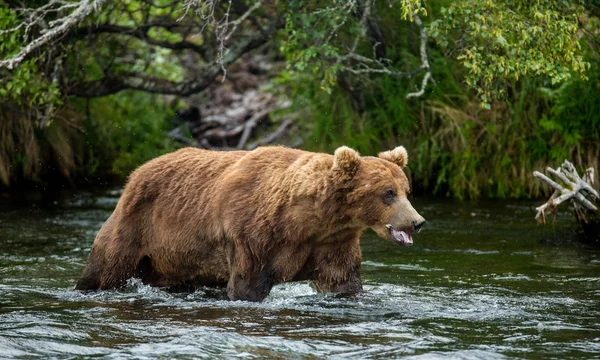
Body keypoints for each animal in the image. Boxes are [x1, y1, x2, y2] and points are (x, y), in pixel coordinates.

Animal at [75, 146, 424, 300]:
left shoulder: (333, 242)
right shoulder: (254, 234)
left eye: (406, 190)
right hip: (135, 227)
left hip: (178, 258)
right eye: (387, 193)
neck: (308, 222)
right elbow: (247, 284)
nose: (417, 222)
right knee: (104, 269)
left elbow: (342, 280)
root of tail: (135, 173)